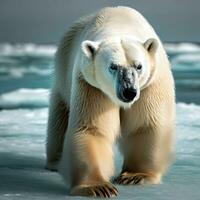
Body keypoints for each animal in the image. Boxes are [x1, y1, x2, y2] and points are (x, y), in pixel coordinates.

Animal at [45, 6, 175, 198]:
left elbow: (145, 124)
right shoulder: (91, 85)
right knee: (59, 116)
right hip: (63, 68)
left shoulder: (150, 84)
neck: (120, 23)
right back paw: (55, 162)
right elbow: (92, 129)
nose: (129, 92)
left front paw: (135, 176)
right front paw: (98, 187)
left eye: (139, 66)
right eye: (113, 66)